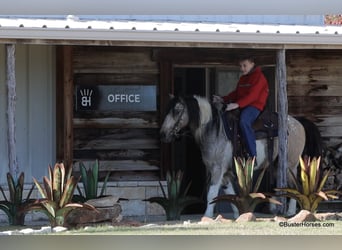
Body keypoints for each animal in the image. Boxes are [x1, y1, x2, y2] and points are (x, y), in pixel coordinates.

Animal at [160, 94, 310, 218]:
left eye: (177, 110)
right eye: (167, 110)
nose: (163, 134)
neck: (214, 129)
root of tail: (298, 124)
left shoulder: (217, 169)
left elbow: (212, 193)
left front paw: (207, 216)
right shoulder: (224, 173)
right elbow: (230, 194)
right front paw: (239, 215)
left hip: (290, 165)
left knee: (295, 186)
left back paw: (291, 212)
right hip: (278, 165)